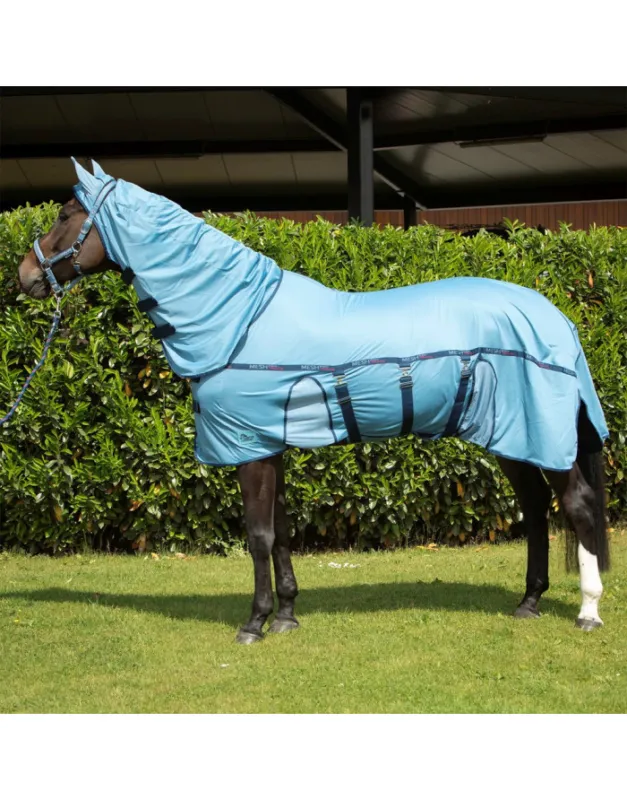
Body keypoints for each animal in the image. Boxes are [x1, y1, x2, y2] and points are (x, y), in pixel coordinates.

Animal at [15, 159, 611, 643]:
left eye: (65, 213)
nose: (24, 275)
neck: (239, 318)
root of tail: (557, 319)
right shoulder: (269, 445)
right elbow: (279, 533)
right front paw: (286, 616)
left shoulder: (251, 449)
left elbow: (257, 536)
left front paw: (254, 624)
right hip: (512, 435)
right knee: (535, 507)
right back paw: (529, 602)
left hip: (536, 434)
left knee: (577, 507)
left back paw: (588, 612)